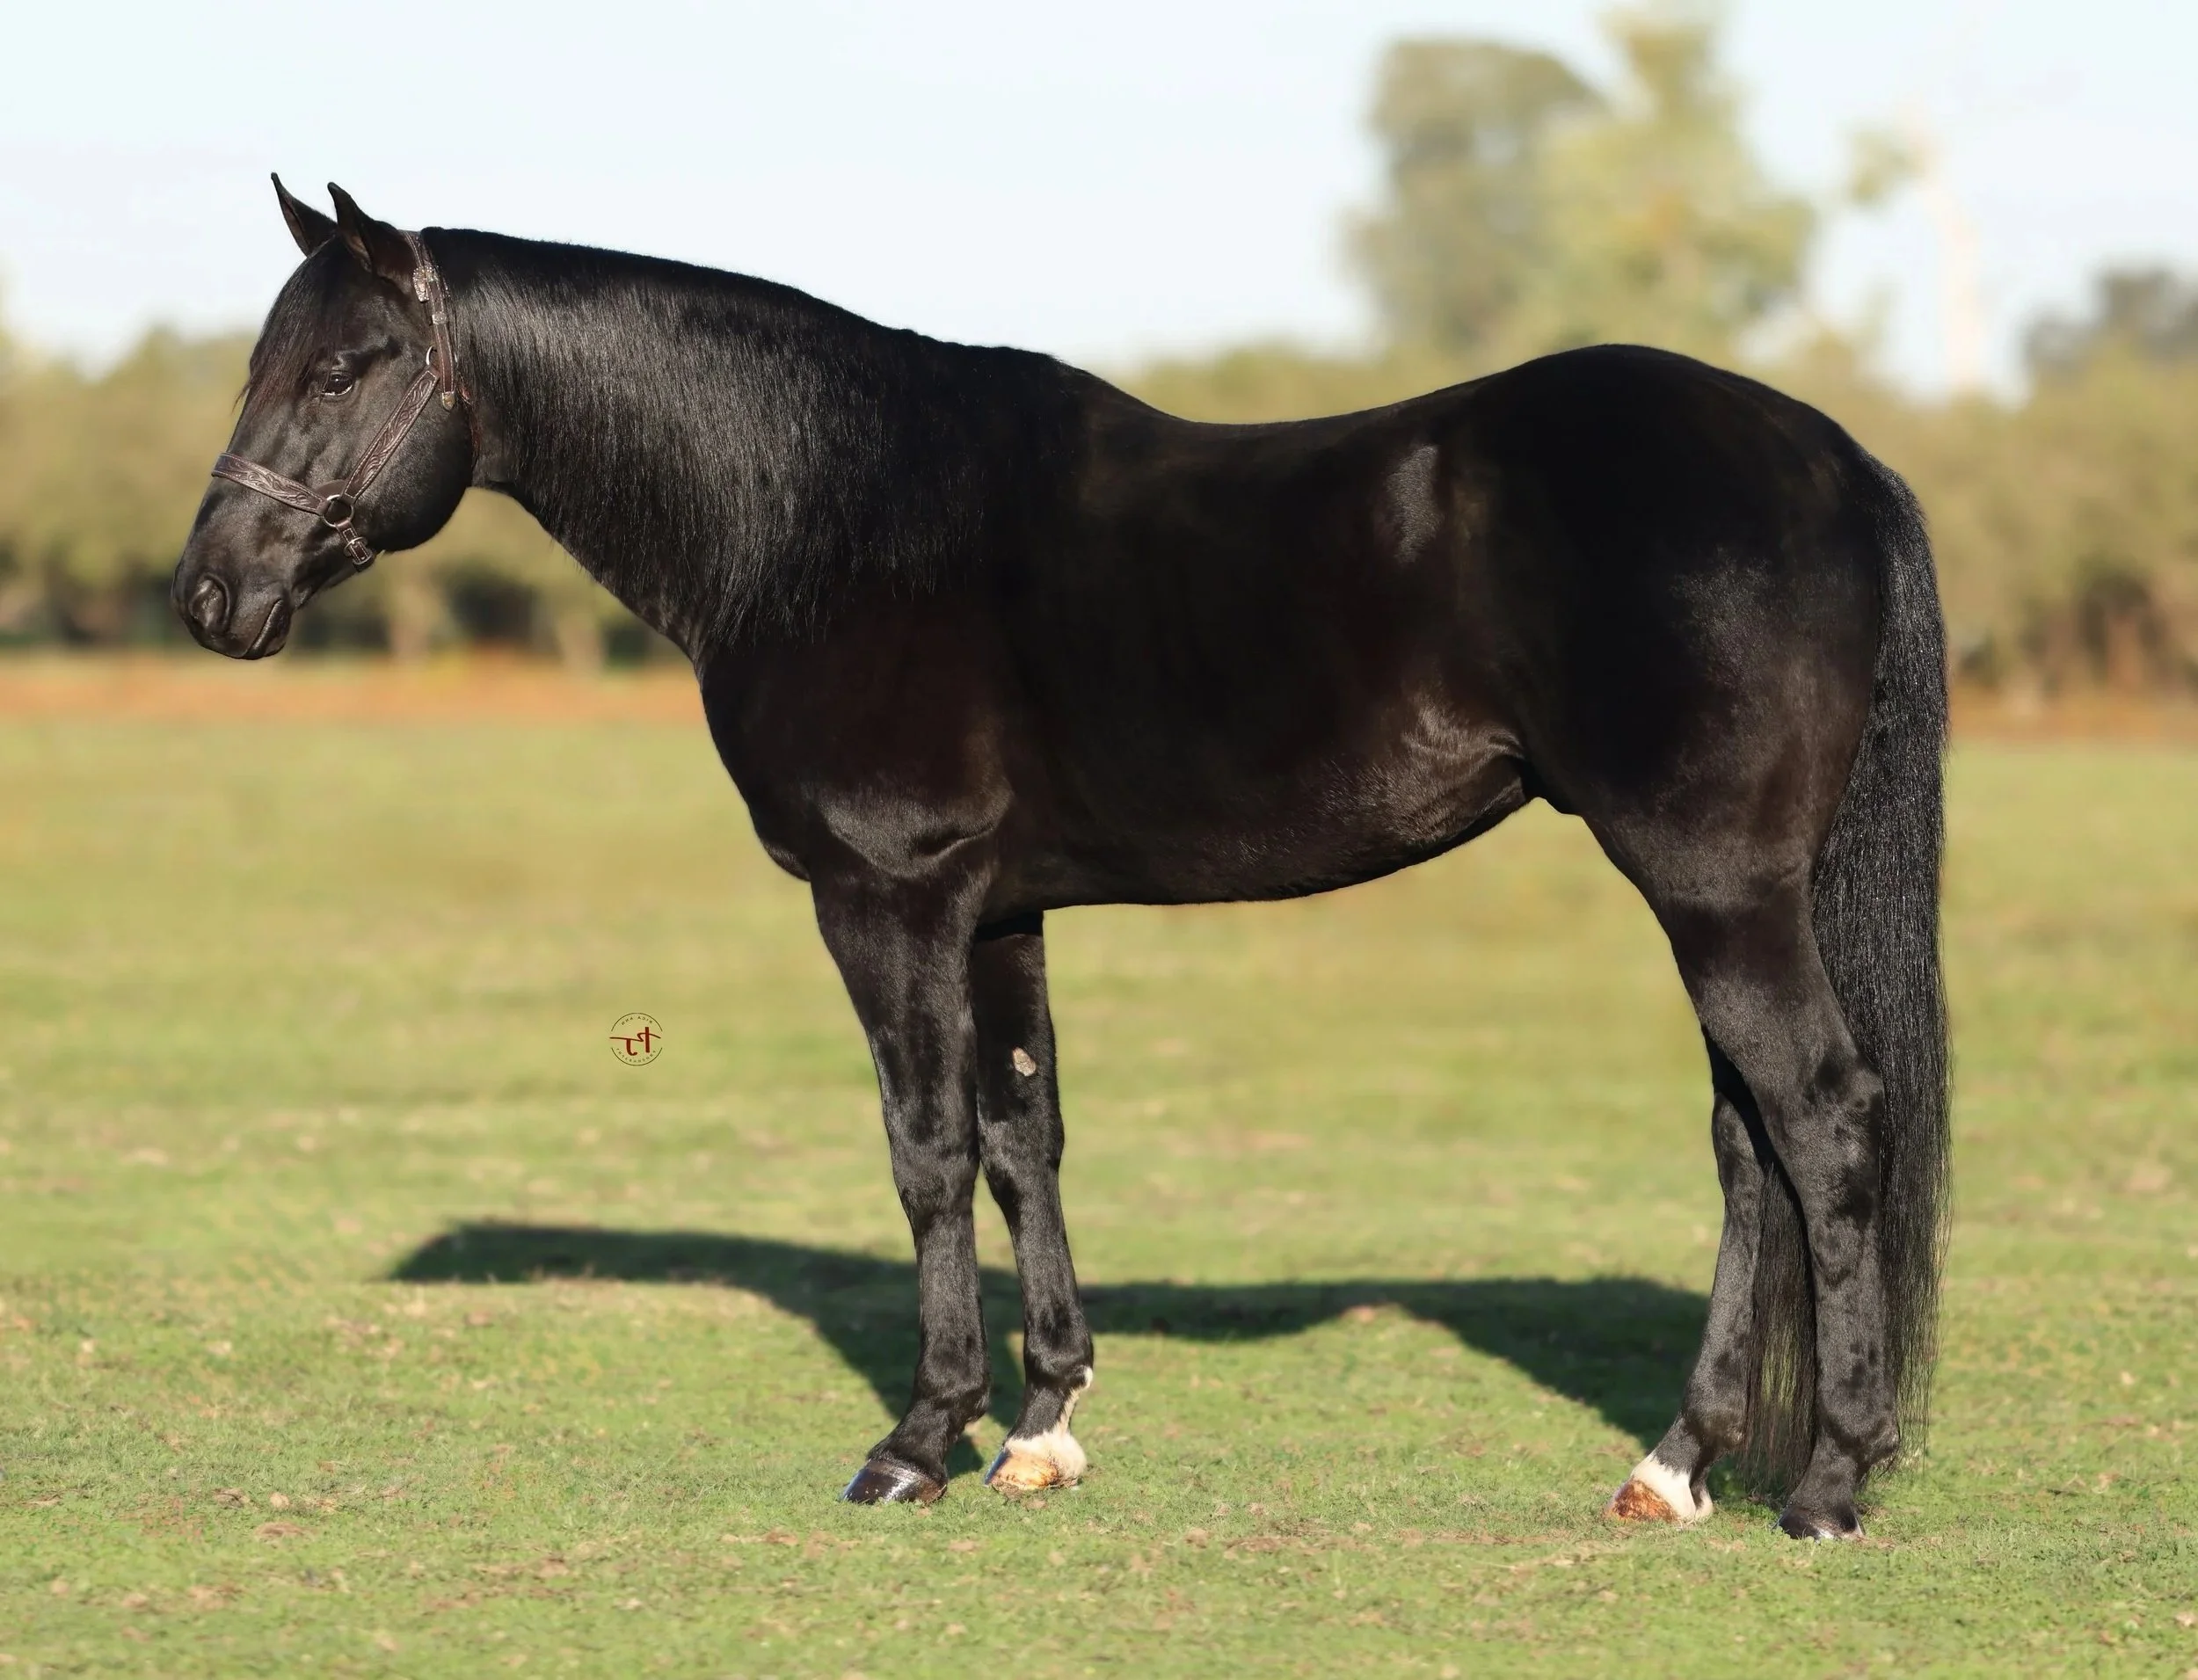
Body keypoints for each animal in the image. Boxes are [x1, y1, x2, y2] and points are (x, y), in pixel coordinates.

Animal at [173, 178, 1948, 1540]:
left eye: (347, 367)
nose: (210, 596)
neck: (829, 519)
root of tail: (1831, 459)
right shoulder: (1002, 911)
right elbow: (1027, 1141)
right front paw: (1039, 1427)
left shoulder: (887, 897)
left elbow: (927, 1149)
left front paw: (917, 1439)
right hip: (1722, 898)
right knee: (1750, 1147)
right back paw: (1680, 1462)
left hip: (1716, 893)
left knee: (1824, 1126)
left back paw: (1828, 1483)